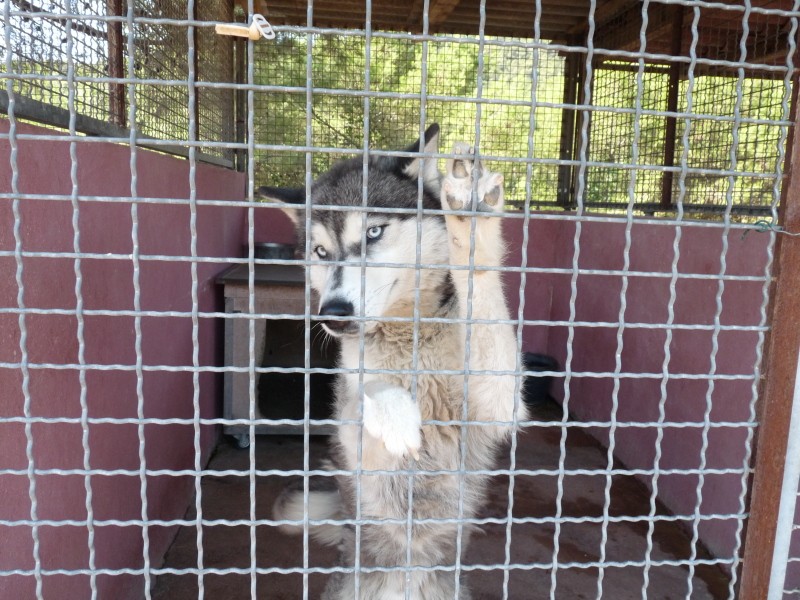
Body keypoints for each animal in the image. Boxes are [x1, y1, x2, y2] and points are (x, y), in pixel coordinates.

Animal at [260, 124, 528, 596]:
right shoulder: (358, 449)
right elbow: (366, 389)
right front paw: (398, 417)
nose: (333, 313)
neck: (410, 340)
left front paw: (471, 224)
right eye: (321, 252)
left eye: (373, 233)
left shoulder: (499, 402)